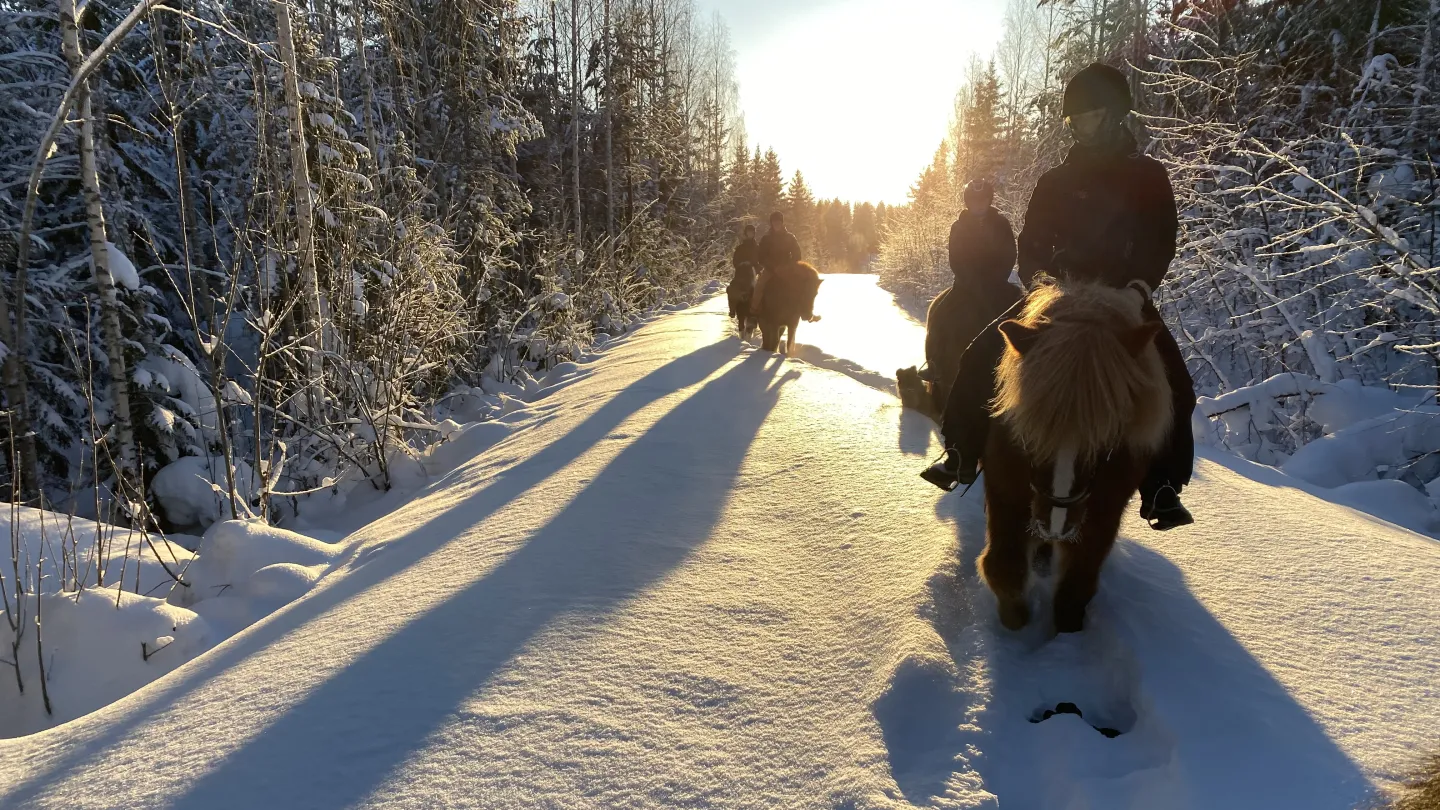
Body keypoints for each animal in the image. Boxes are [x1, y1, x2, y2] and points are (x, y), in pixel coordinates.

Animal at [979, 275, 1169, 631]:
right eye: (1031, 433)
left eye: (1108, 438)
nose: (1057, 524)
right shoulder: (1005, 491)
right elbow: (1004, 567)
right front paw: (1015, 622)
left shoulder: (1104, 512)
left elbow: (1075, 589)